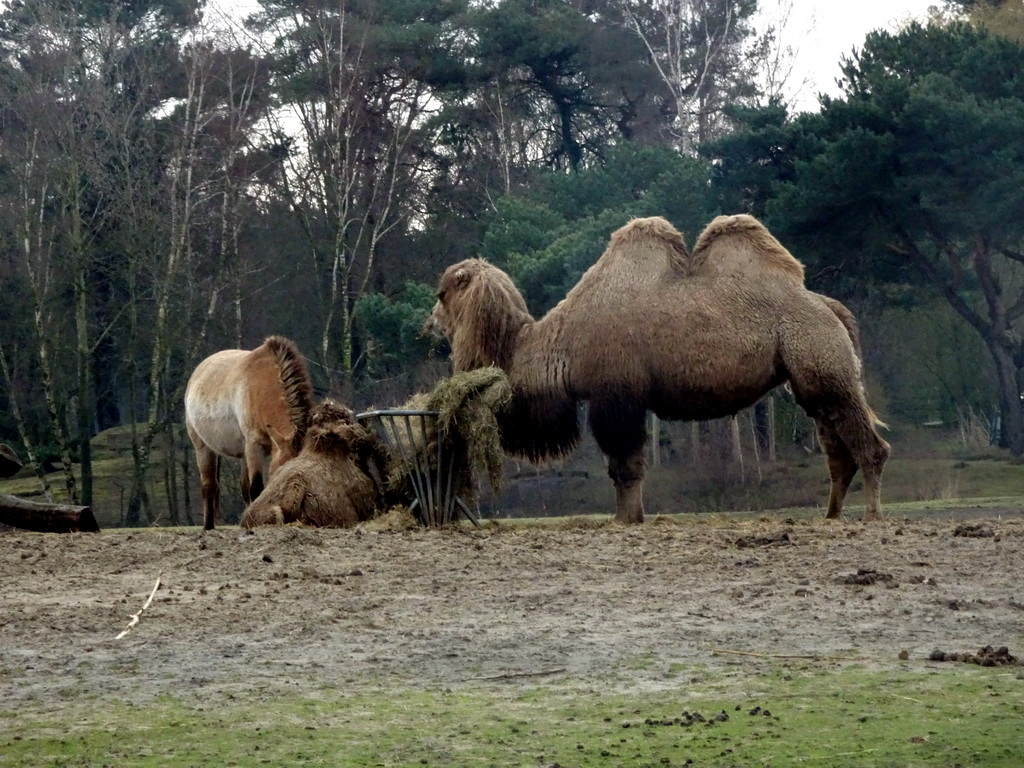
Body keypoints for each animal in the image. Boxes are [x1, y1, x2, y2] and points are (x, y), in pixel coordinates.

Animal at [184, 335, 311, 528]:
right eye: (280, 474)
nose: (291, 513)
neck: (263, 387)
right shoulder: (254, 446)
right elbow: (257, 489)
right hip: (203, 447)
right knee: (209, 486)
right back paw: (208, 526)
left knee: (242, 487)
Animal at [423, 214, 888, 524]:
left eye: (442, 293)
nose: (427, 322)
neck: (560, 345)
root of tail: (829, 308)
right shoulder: (622, 401)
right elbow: (627, 466)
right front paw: (635, 517)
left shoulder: (615, 397)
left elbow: (625, 467)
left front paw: (625, 519)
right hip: (809, 381)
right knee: (837, 449)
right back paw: (830, 516)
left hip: (823, 363)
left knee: (870, 446)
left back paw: (872, 515)